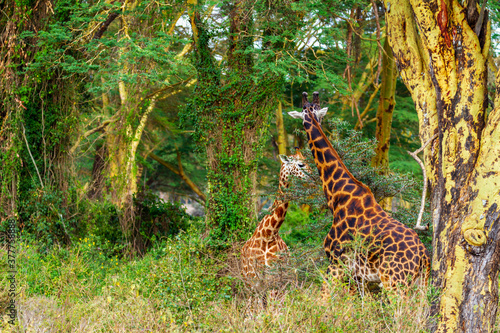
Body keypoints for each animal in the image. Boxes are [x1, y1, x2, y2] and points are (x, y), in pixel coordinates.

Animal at [290, 91, 430, 294]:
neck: (336, 195)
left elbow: (324, 297)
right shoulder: (356, 274)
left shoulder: (336, 263)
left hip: (394, 282)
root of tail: (424, 256)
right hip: (420, 284)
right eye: (319, 115)